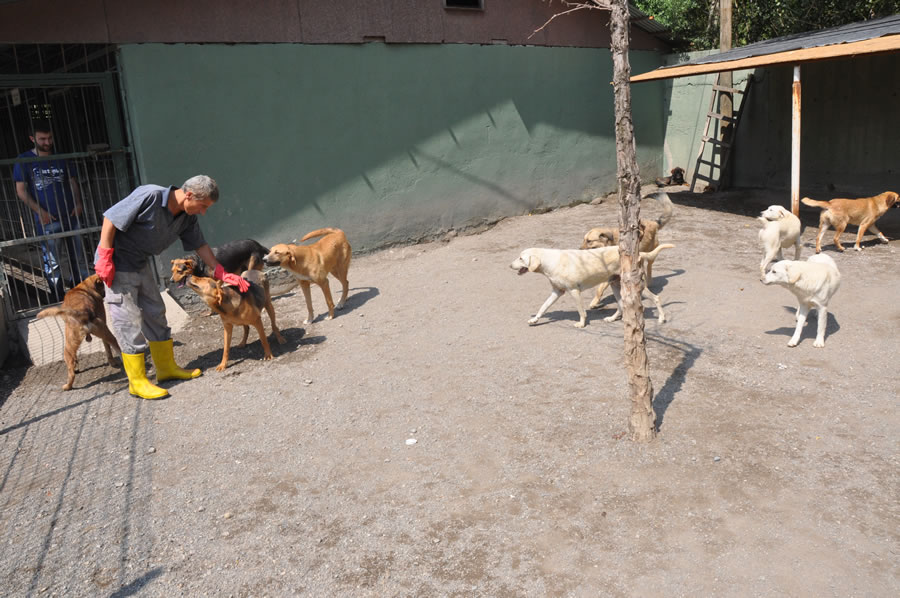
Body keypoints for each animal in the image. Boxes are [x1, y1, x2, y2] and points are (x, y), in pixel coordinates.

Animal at [510, 244, 672, 328]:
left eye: (520, 258)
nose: (509, 265)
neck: (550, 261)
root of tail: (638, 254)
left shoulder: (574, 291)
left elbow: (581, 311)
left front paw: (581, 324)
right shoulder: (557, 292)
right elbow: (543, 307)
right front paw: (535, 320)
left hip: (638, 287)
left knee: (656, 298)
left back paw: (661, 318)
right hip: (616, 286)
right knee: (621, 305)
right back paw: (612, 319)